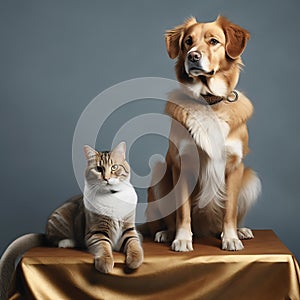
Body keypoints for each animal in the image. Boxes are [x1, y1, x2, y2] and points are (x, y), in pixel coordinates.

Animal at [45, 142, 144, 274]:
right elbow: (103, 246)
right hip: (60, 216)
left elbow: (134, 243)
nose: (106, 178)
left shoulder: (128, 229)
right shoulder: (96, 232)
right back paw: (68, 242)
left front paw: (135, 259)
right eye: (98, 169)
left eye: (114, 167)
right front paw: (105, 262)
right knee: (53, 238)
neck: (111, 195)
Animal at [145, 15, 260, 251]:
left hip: (250, 177)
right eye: (188, 41)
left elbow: (230, 209)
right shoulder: (182, 163)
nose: (193, 56)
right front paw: (182, 239)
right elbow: (182, 211)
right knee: (162, 222)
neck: (208, 101)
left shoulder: (234, 165)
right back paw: (166, 233)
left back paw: (240, 231)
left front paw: (230, 238)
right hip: (160, 173)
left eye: (214, 41)